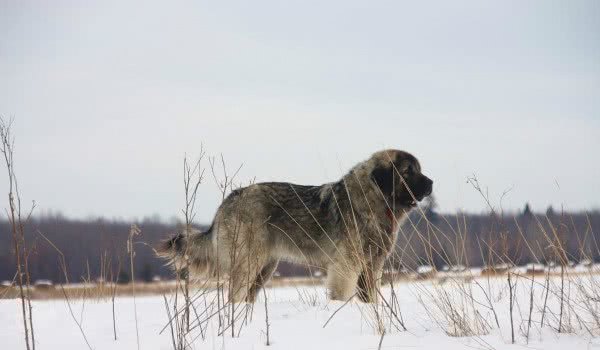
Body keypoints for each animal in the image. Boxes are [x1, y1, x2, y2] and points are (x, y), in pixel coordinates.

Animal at [159, 150, 432, 304]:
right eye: (408, 171)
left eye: (419, 170)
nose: (431, 183)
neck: (374, 198)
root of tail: (231, 198)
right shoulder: (347, 264)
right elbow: (342, 292)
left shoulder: (372, 264)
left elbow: (370, 295)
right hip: (249, 262)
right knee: (234, 294)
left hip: (265, 267)